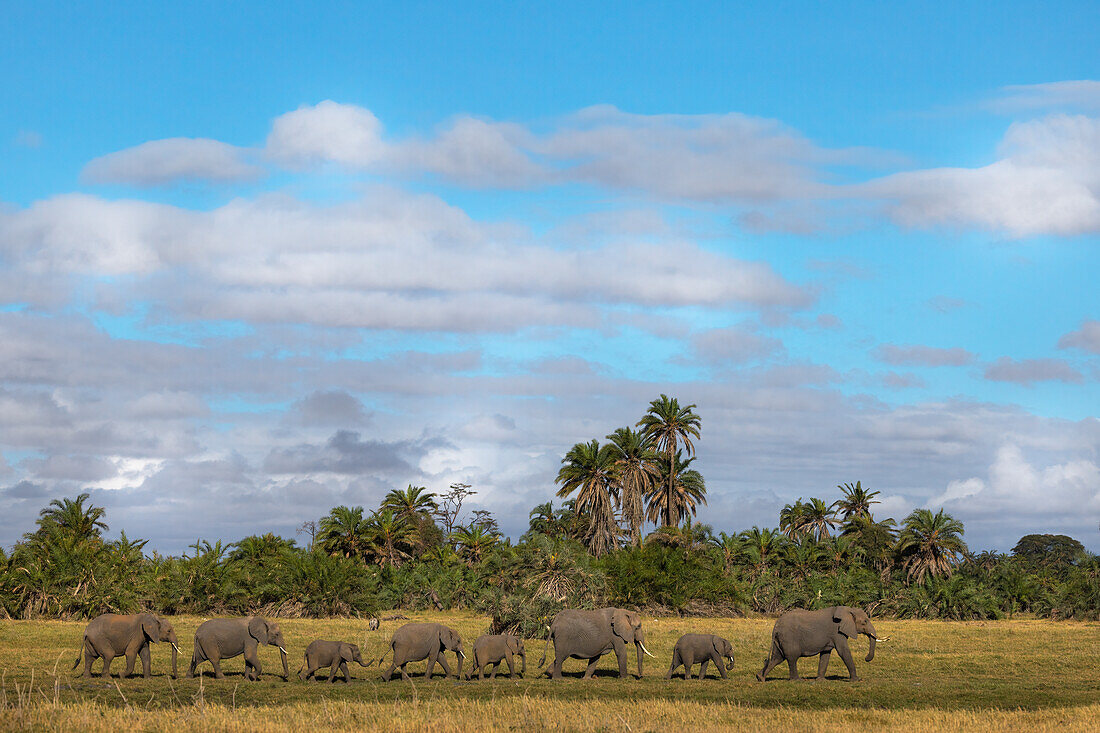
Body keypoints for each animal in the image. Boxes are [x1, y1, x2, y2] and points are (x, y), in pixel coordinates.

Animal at [756, 603, 884, 682]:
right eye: (865, 622)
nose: (866, 658)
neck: (847, 610)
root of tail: (776, 625)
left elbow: (826, 654)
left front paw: (821, 680)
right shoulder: (837, 632)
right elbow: (843, 651)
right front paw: (856, 680)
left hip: (780, 639)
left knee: (777, 658)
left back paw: (760, 678)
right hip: (788, 637)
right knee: (792, 657)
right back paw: (797, 680)